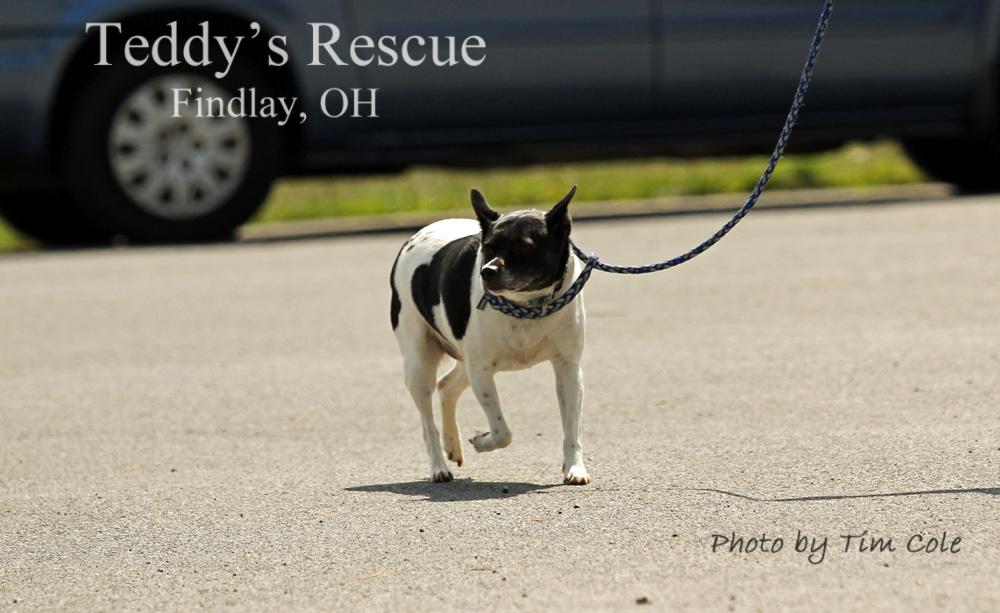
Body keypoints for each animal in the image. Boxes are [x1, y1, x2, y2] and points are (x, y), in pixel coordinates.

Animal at [388, 185, 592, 482]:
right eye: (487, 248)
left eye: (524, 247)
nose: (487, 271)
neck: (526, 307)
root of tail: (413, 238)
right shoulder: (482, 371)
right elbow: (502, 432)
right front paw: (481, 440)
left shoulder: (568, 368)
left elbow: (572, 427)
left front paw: (575, 467)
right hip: (420, 363)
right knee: (428, 421)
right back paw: (439, 466)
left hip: (463, 363)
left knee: (446, 387)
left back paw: (452, 445)